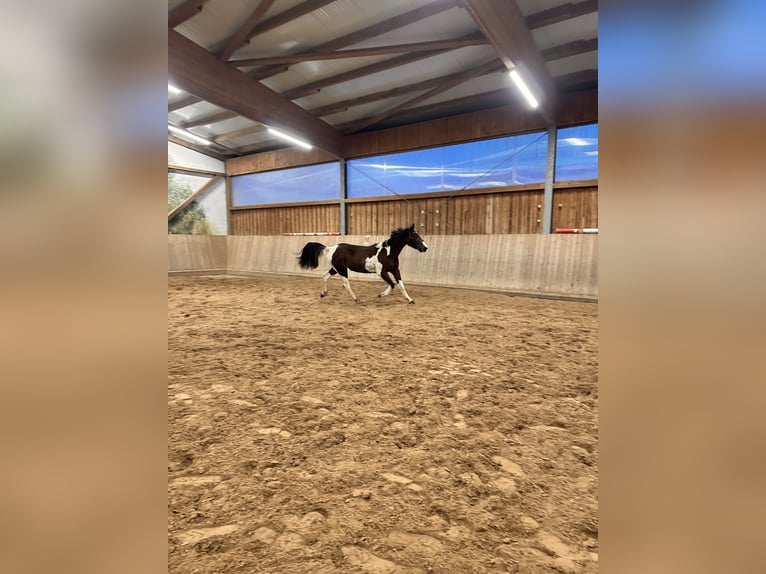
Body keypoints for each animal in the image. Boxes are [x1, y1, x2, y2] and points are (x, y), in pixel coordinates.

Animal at [297, 224, 428, 304]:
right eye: (415, 235)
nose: (425, 248)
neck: (389, 252)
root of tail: (330, 248)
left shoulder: (395, 270)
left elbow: (401, 285)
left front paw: (410, 300)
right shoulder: (381, 272)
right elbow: (392, 285)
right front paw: (380, 295)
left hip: (335, 268)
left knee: (325, 276)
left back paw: (323, 293)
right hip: (342, 269)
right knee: (346, 284)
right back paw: (356, 299)